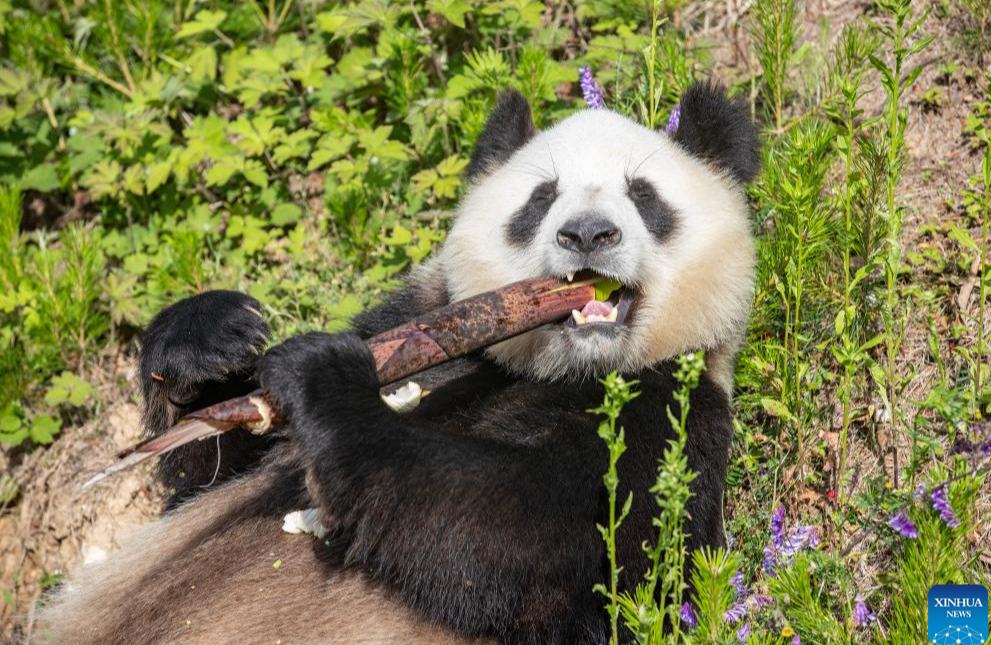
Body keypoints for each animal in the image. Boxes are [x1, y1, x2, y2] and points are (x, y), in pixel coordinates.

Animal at [35, 81, 758, 645]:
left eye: (643, 196)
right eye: (539, 199)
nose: (585, 234)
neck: (558, 368)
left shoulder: (670, 416)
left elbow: (514, 534)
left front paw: (323, 378)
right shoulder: (416, 318)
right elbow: (206, 476)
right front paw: (212, 341)